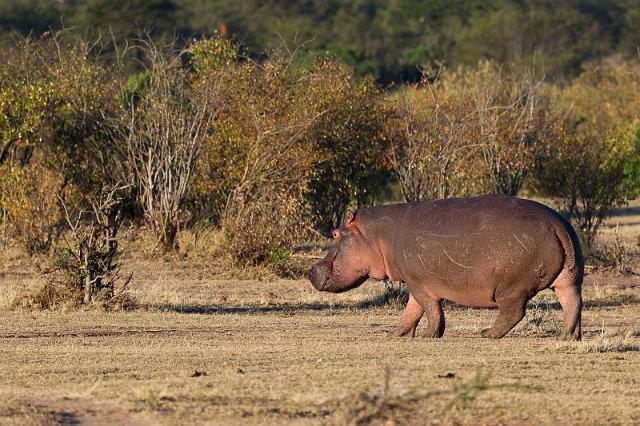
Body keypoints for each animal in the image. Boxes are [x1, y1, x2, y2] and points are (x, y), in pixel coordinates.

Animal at [308, 196, 584, 340]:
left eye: (335, 234)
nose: (311, 270)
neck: (377, 235)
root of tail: (557, 223)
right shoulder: (414, 283)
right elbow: (410, 312)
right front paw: (395, 334)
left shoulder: (419, 284)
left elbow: (430, 310)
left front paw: (430, 335)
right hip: (568, 279)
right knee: (572, 304)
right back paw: (567, 337)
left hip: (510, 288)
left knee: (514, 312)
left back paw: (486, 333)